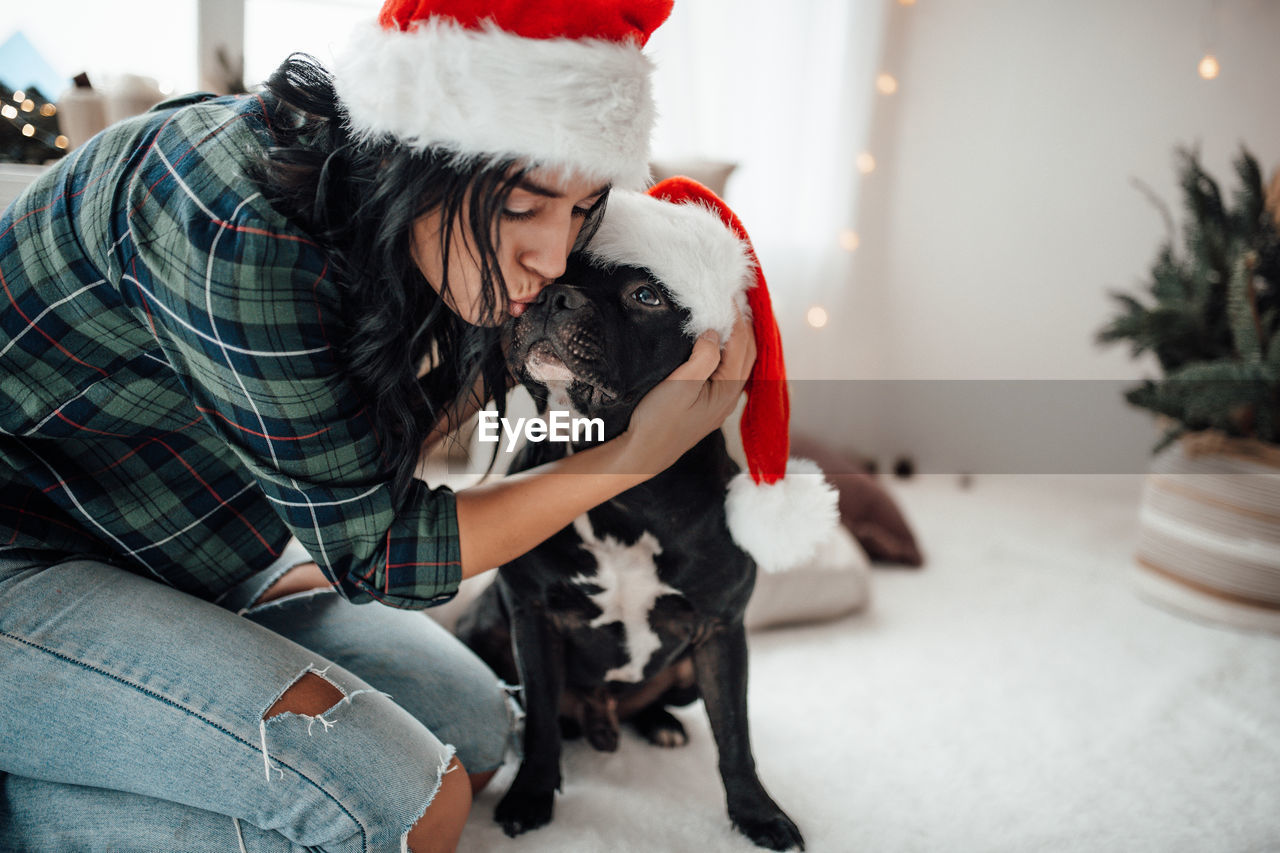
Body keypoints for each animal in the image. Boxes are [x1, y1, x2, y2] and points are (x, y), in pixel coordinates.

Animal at [455, 253, 803, 850]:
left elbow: (736, 736)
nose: (551, 295)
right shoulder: (535, 617)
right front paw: (530, 795)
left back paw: (660, 725)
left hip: (687, 675)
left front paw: (757, 815)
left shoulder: (720, 629)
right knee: (532, 710)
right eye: (552, 271)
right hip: (483, 631)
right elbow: (541, 722)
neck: (621, 497)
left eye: (646, 295)